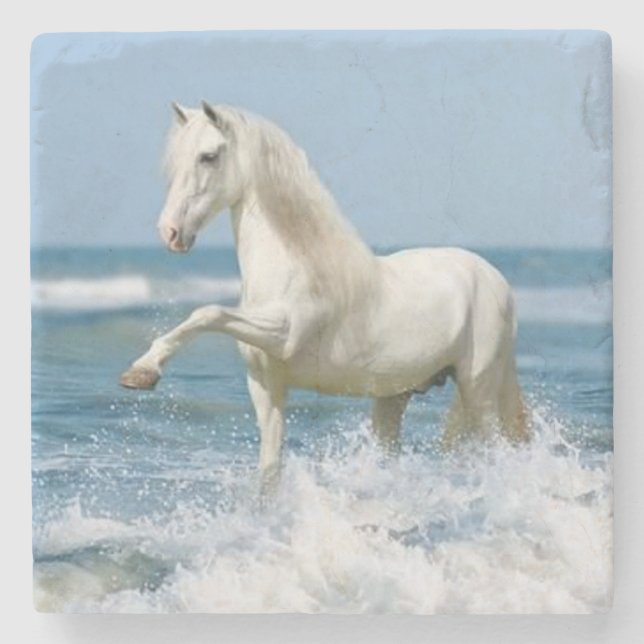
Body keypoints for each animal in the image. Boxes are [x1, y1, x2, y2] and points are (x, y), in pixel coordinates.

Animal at [120, 101, 530, 495]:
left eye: (208, 156)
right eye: (174, 160)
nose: (171, 232)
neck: (294, 263)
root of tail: (496, 280)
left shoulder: (283, 334)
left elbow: (209, 313)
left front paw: (143, 371)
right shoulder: (266, 387)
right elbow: (270, 472)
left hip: (478, 391)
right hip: (393, 396)